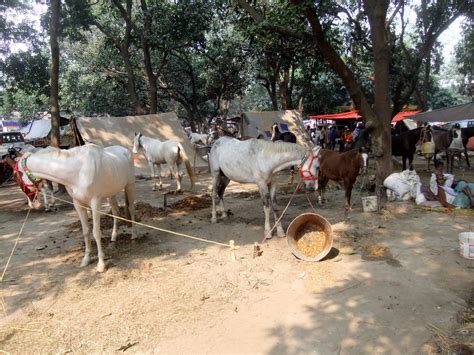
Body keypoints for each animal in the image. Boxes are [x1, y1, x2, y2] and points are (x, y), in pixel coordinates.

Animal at [13, 144, 136, 272]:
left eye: (16, 174)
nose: (33, 204)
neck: (78, 170)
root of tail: (124, 149)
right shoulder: (78, 204)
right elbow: (86, 231)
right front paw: (86, 259)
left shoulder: (95, 202)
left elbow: (96, 232)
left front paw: (101, 264)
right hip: (111, 193)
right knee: (116, 212)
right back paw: (113, 237)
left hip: (129, 186)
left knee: (131, 208)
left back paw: (134, 235)